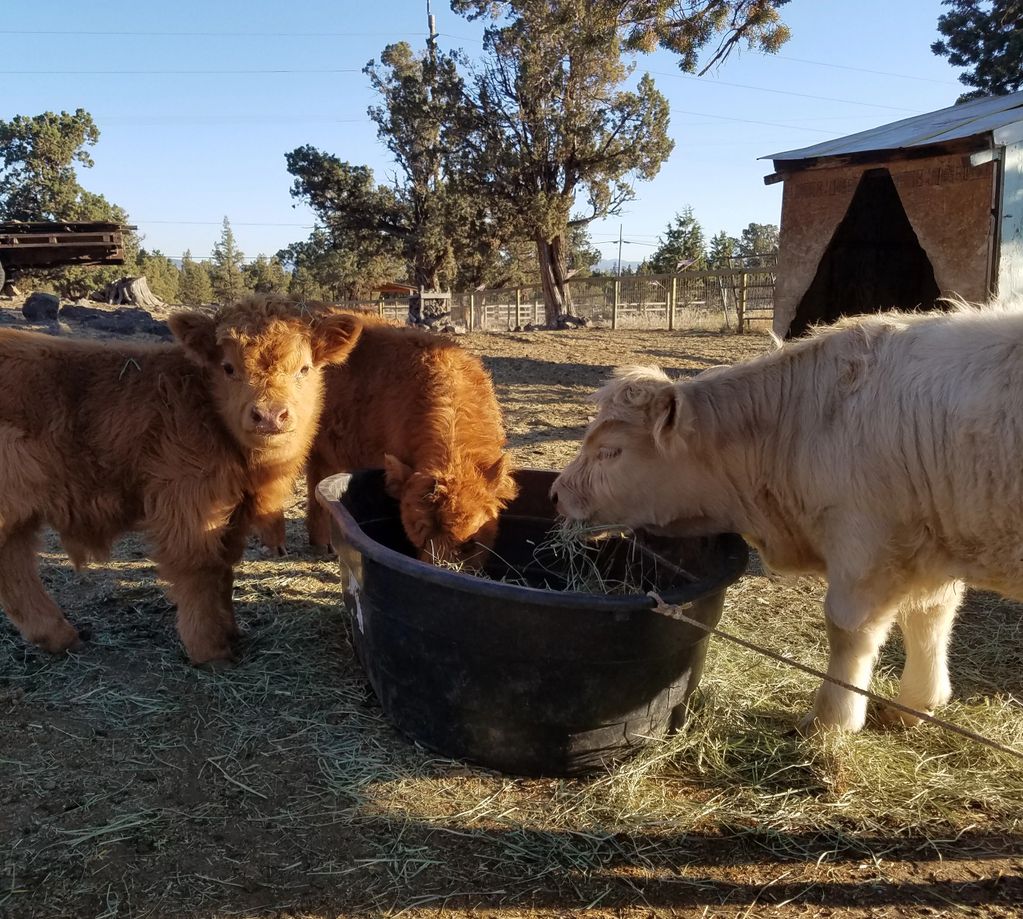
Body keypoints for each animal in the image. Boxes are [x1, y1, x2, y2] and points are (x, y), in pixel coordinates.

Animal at [0, 295, 362, 665]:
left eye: (304, 368)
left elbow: (224, 568)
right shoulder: (189, 506)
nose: (269, 415)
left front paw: (230, 632)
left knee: (14, 565)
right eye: (228, 368)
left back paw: (59, 636)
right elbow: (199, 570)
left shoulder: (231, 513)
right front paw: (209, 649)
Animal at [552, 301, 1023, 734]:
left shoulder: (864, 545)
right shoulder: (930, 551)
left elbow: (848, 632)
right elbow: (929, 619)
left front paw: (831, 721)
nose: (556, 493)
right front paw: (917, 703)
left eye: (610, 451)